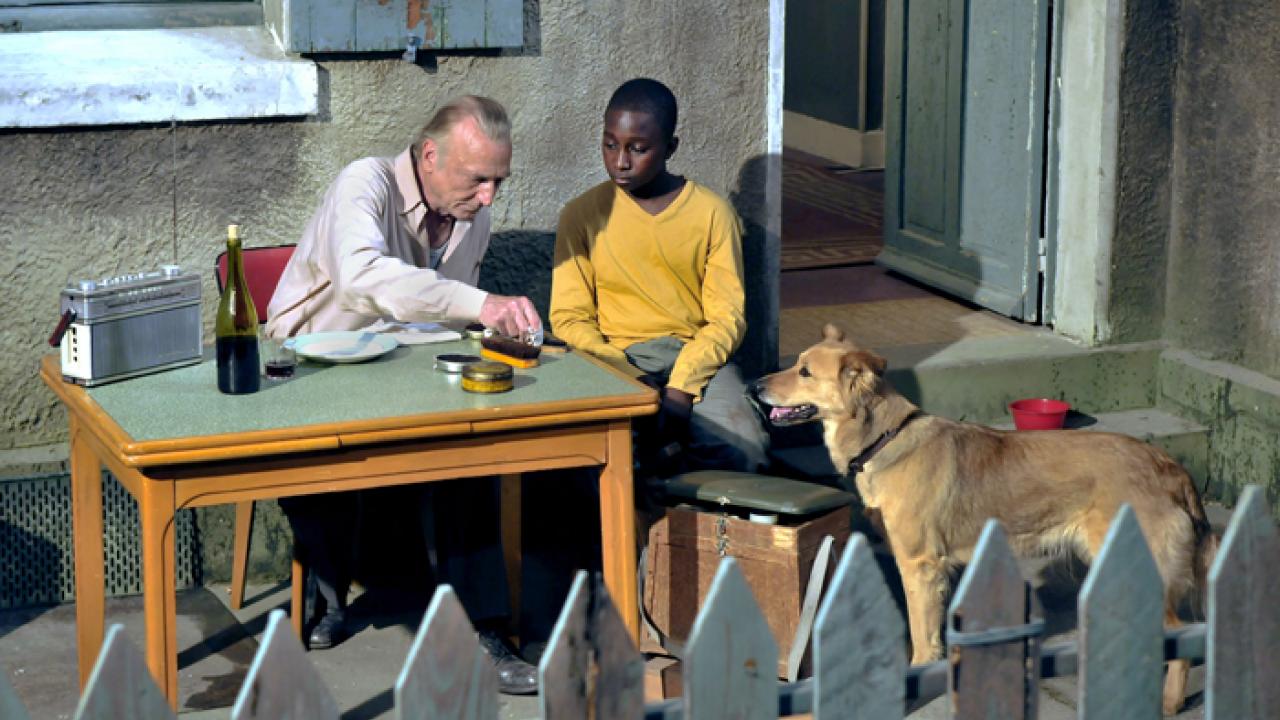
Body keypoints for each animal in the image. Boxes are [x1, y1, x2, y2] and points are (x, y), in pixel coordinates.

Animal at [752, 325, 1213, 712]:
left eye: (805, 372)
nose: (754, 386)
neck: (885, 436)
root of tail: (1171, 467)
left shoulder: (919, 566)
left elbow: (921, 636)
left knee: (1179, 637)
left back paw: (1168, 703)